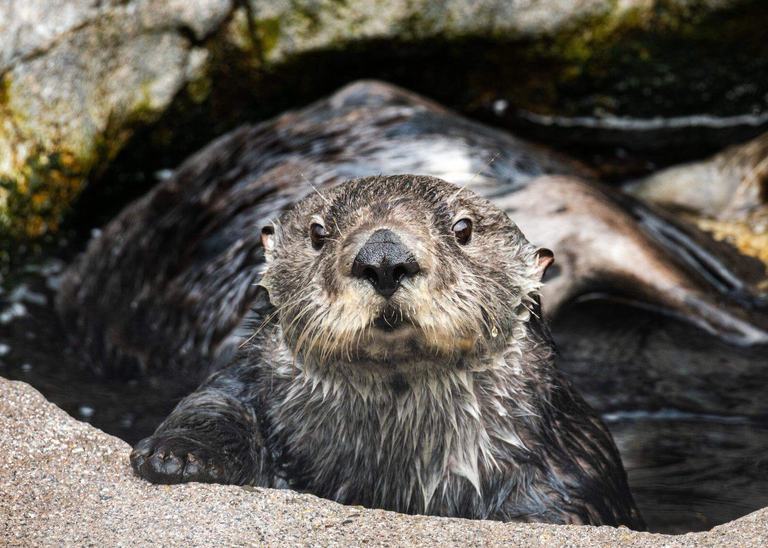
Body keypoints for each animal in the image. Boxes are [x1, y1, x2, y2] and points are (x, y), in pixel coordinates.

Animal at [130, 175, 644, 529]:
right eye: (318, 233)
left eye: (463, 228)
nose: (383, 257)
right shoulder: (245, 384)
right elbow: (214, 403)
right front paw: (180, 457)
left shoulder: (571, 463)